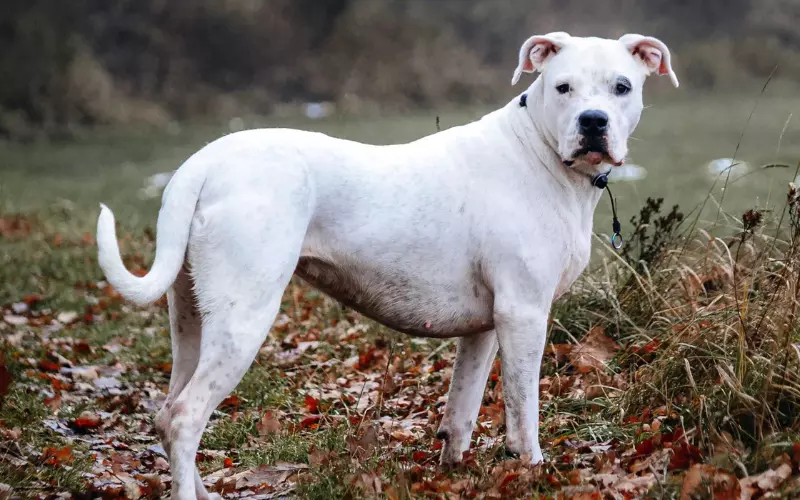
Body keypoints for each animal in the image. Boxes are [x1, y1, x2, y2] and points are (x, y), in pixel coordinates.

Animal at [97, 32, 680, 500]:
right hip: (244, 318)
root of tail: (203, 162)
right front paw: (531, 470)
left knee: (168, 412)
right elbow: (523, 411)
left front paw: (453, 473)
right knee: (185, 417)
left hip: (192, 320)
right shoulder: (524, 315)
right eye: (563, 88)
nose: (593, 122)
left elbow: (462, 412)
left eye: (621, 87)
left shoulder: (487, 327)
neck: (540, 151)